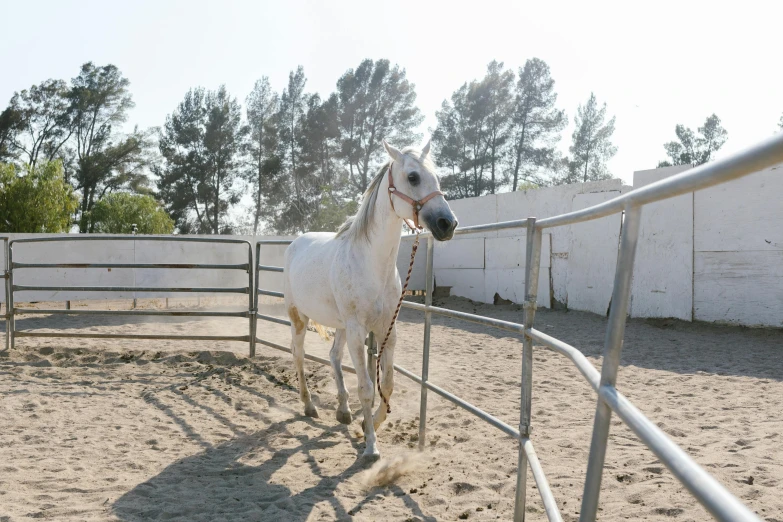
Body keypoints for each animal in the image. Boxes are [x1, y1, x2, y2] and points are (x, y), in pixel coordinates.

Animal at [284, 139, 460, 460]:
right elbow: (366, 387)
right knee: (299, 355)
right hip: (298, 318)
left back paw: (342, 411)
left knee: (333, 356)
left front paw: (371, 424)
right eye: (413, 177)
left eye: (437, 177)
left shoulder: (387, 330)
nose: (447, 224)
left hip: (340, 325)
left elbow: (387, 384)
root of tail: (296, 242)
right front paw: (370, 446)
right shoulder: (358, 331)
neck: (371, 263)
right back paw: (309, 405)